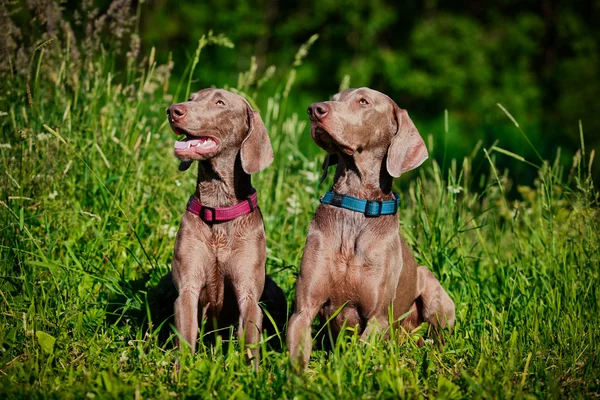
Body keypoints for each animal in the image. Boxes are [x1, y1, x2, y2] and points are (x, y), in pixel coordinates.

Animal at [168, 88, 278, 368]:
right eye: (192, 98)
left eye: (220, 102)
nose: (173, 110)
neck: (218, 207)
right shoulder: (187, 288)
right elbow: (185, 338)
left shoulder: (248, 293)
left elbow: (249, 342)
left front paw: (250, 374)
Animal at [288, 87, 454, 372]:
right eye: (334, 97)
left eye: (363, 101)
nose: (314, 109)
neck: (356, 203)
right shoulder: (303, 310)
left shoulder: (378, 318)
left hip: (434, 291)